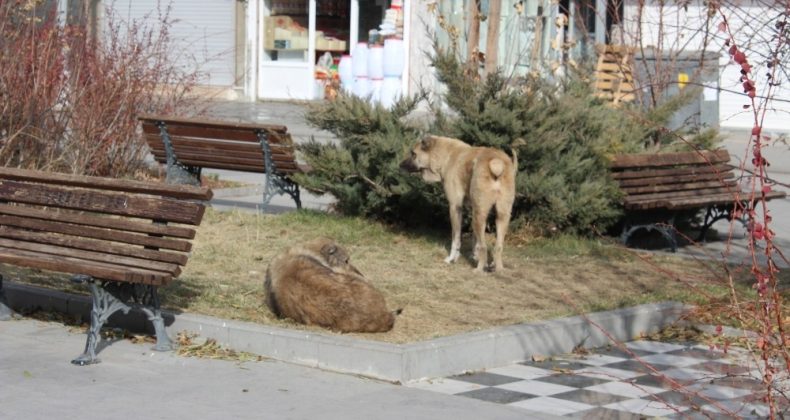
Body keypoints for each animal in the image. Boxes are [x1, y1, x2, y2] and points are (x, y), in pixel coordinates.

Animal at [402, 135, 520, 272]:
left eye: (413, 153)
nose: (400, 165)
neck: (445, 155)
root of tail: (497, 162)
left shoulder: (455, 207)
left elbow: (456, 237)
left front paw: (452, 259)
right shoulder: (472, 208)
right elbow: (475, 239)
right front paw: (475, 256)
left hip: (480, 215)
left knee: (484, 247)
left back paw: (479, 270)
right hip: (501, 215)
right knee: (498, 246)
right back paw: (497, 268)